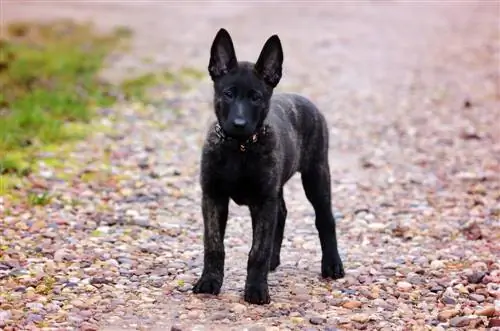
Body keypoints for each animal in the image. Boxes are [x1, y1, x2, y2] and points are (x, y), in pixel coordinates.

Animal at [193, 28, 346, 306]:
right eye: (228, 94)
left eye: (256, 97)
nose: (239, 123)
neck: (240, 149)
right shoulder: (213, 197)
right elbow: (214, 244)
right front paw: (209, 282)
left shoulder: (263, 201)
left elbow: (258, 250)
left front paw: (255, 289)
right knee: (283, 213)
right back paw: (274, 262)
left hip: (316, 175)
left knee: (325, 219)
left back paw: (332, 264)